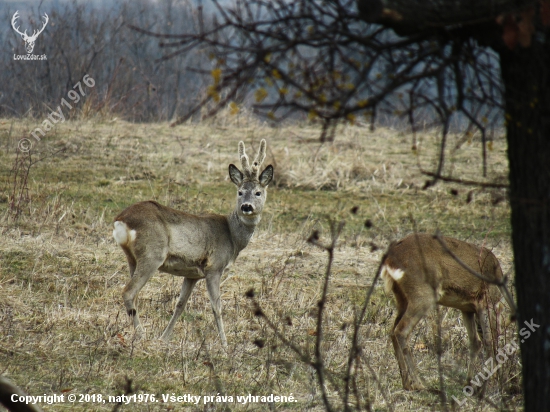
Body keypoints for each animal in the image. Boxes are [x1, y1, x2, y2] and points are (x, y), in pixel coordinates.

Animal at [113, 140, 274, 342]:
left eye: (258, 192)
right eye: (240, 192)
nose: (246, 206)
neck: (233, 237)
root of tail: (121, 219)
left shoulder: (192, 274)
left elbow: (180, 305)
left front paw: (164, 338)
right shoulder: (214, 267)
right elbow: (217, 308)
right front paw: (224, 343)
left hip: (132, 257)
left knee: (134, 295)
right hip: (152, 254)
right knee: (128, 292)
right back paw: (141, 334)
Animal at [380, 233, 512, 392]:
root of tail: (390, 259)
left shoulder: (467, 308)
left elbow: (475, 342)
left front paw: (469, 382)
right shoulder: (485, 301)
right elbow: (488, 340)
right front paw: (489, 382)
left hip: (401, 298)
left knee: (393, 331)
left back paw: (407, 383)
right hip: (422, 295)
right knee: (401, 331)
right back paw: (419, 383)